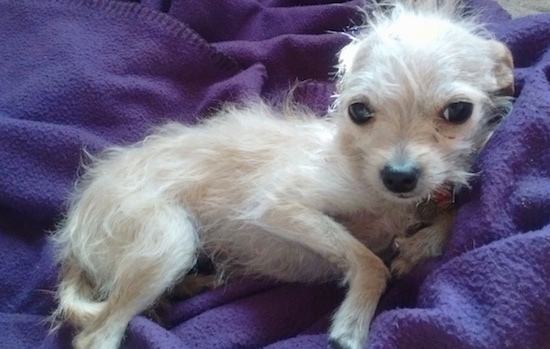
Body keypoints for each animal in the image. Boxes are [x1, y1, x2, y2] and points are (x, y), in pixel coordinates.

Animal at [49, 1, 516, 346]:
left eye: (458, 111)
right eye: (359, 111)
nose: (398, 176)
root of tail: (73, 234)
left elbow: (447, 217)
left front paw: (422, 243)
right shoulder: (280, 207)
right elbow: (368, 260)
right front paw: (353, 321)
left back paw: (195, 285)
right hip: (168, 238)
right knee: (96, 335)